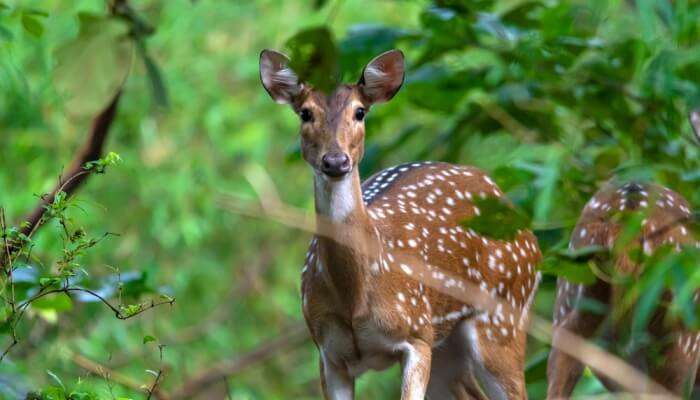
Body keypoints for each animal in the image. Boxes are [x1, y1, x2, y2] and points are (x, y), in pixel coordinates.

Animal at [260, 48, 540, 398]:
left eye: (360, 111)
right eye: (305, 113)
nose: (335, 161)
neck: (355, 298)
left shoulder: (416, 335)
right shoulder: (327, 352)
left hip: (503, 317)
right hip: (447, 344)